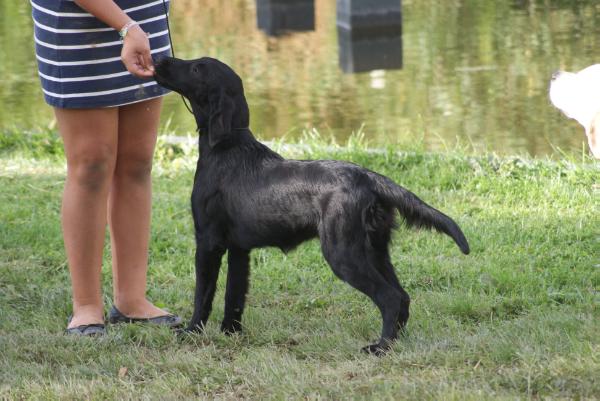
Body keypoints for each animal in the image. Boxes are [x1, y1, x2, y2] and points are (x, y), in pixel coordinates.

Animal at [154, 56, 468, 354]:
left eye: (196, 69)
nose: (160, 60)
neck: (226, 147)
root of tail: (368, 178)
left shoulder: (208, 241)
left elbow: (203, 294)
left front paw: (192, 331)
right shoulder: (239, 249)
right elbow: (234, 296)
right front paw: (230, 334)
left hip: (342, 252)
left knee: (390, 298)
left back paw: (379, 347)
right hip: (376, 250)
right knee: (402, 297)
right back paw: (392, 343)